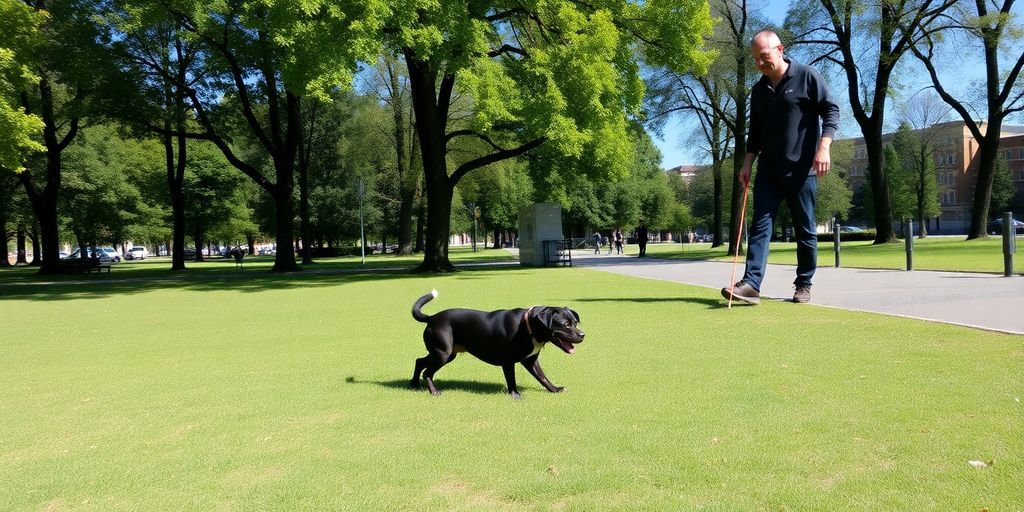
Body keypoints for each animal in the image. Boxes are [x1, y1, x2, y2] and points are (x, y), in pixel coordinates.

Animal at [409, 290, 585, 397]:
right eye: (565, 325)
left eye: (576, 322)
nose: (583, 335)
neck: (528, 326)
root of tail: (431, 318)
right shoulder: (507, 361)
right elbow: (511, 379)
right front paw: (515, 395)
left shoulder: (531, 360)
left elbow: (543, 377)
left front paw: (555, 389)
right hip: (443, 353)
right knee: (427, 372)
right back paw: (434, 391)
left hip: (445, 353)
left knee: (419, 361)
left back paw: (414, 385)